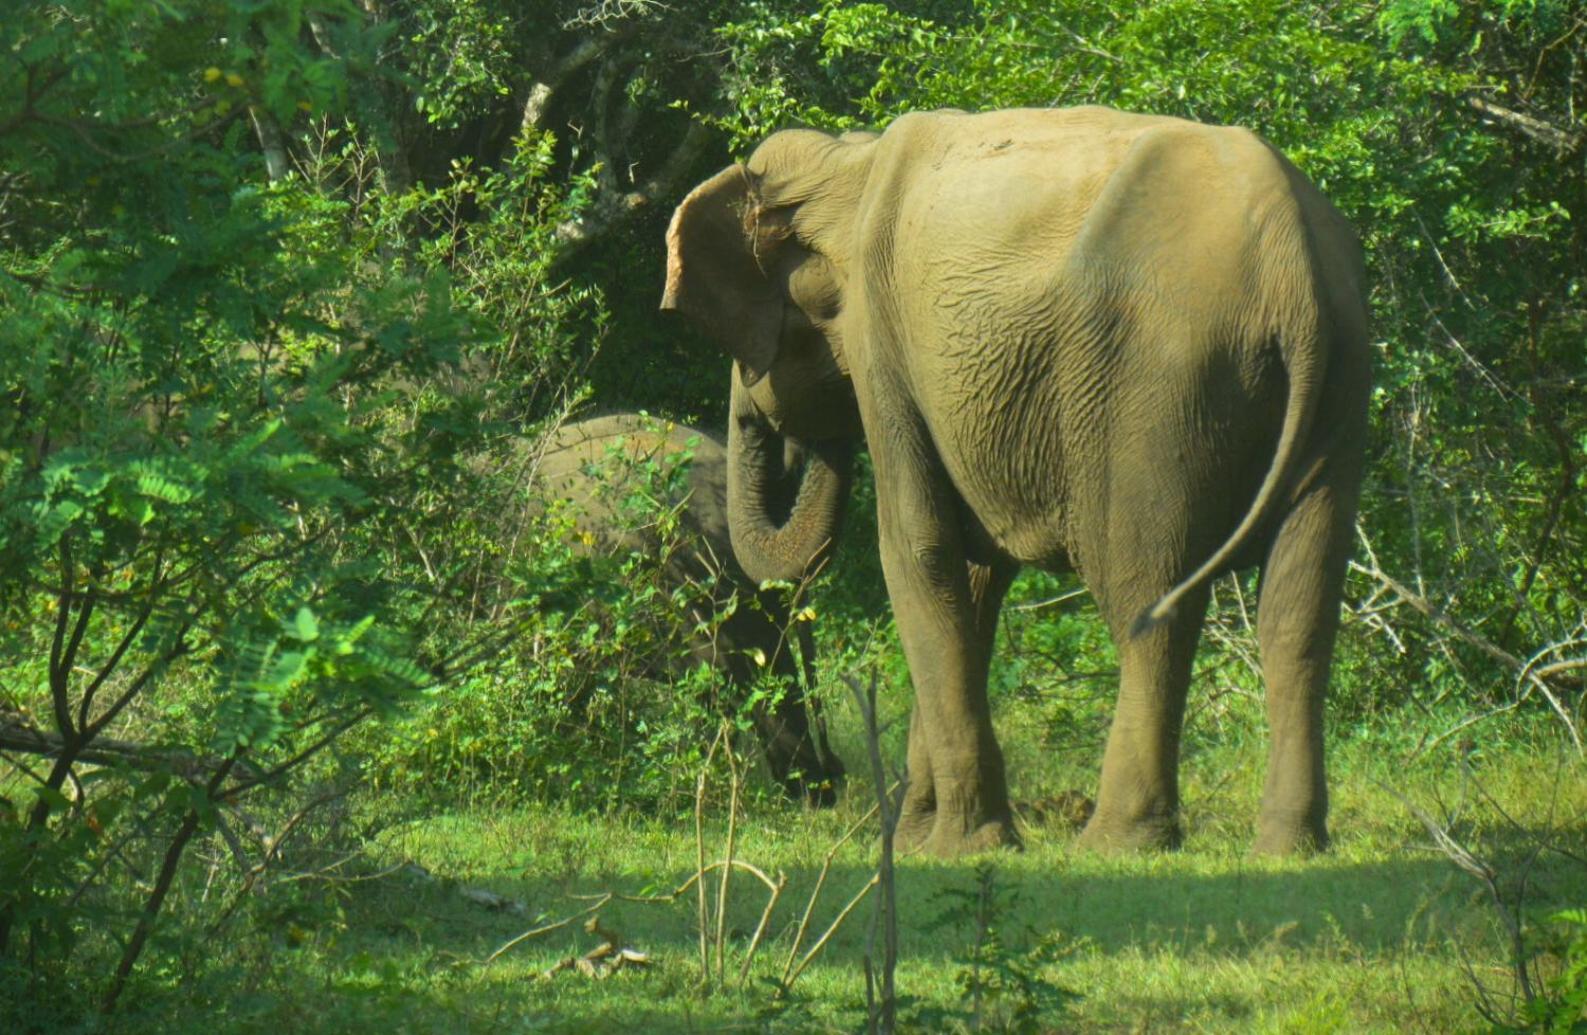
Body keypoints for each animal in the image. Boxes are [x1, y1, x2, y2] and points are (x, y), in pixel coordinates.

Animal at [663, 104, 1371, 857]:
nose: (828, 782)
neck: (845, 161)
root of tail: (1292, 268)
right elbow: (974, 577)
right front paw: (922, 839)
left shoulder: (883, 339)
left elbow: (917, 548)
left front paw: (960, 845)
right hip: (1339, 380)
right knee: (1298, 609)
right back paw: (1289, 845)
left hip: (1163, 385)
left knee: (1148, 600)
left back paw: (1116, 841)